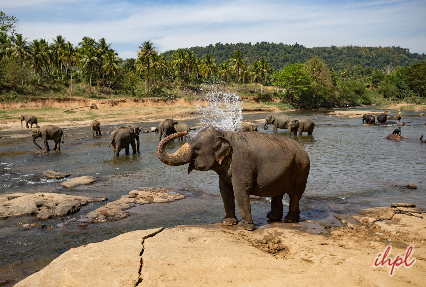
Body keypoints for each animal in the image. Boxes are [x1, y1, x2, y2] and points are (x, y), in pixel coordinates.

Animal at [156, 126, 310, 232]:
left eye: (197, 148)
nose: (184, 131)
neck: (225, 133)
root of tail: (302, 148)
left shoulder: (241, 162)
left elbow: (240, 190)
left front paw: (246, 227)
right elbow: (224, 191)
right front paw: (228, 223)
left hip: (302, 169)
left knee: (295, 194)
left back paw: (290, 220)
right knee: (277, 193)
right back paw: (272, 217)